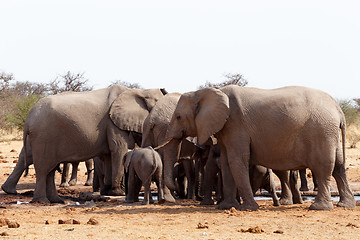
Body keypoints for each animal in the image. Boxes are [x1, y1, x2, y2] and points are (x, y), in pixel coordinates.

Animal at [14, 84, 166, 202]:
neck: (141, 91)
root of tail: (28, 118)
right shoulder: (113, 124)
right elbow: (118, 150)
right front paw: (118, 192)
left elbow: (108, 156)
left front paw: (108, 192)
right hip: (43, 136)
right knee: (43, 169)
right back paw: (43, 201)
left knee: (50, 170)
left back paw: (56, 200)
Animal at [165, 85, 356, 210]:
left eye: (179, 117)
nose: (176, 191)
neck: (209, 92)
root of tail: (338, 108)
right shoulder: (226, 130)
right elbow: (226, 163)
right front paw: (227, 207)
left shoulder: (236, 125)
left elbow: (237, 161)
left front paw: (249, 208)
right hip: (329, 132)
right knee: (339, 166)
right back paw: (345, 205)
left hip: (321, 130)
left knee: (323, 167)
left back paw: (319, 207)